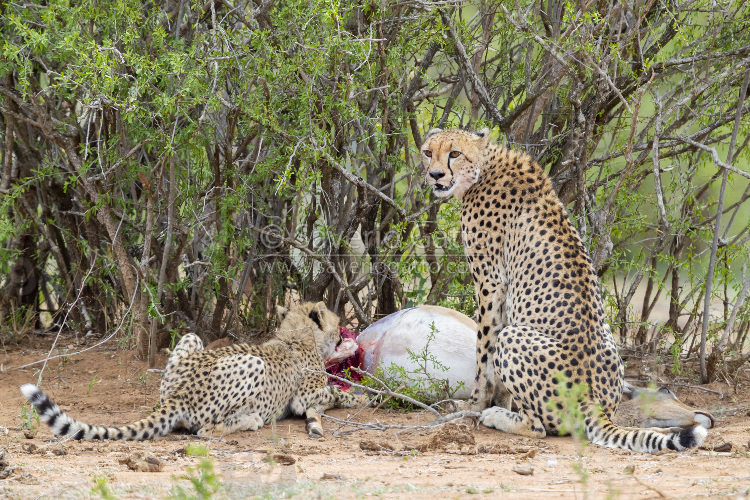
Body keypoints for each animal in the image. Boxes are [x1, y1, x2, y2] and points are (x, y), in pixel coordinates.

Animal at [25, 300, 372, 438]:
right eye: (337, 325)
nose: (345, 334)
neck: (296, 335)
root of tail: (177, 396)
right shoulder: (304, 398)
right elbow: (338, 394)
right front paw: (365, 397)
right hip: (252, 363)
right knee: (206, 430)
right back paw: (250, 420)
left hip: (191, 340)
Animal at [424, 126, 712, 454]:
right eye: (427, 152)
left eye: (454, 153)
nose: (434, 174)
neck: (484, 168)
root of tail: (595, 403)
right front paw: (500, 400)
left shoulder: (490, 282)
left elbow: (484, 350)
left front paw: (475, 404)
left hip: (516, 337)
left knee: (539, 427)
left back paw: (497, 417)